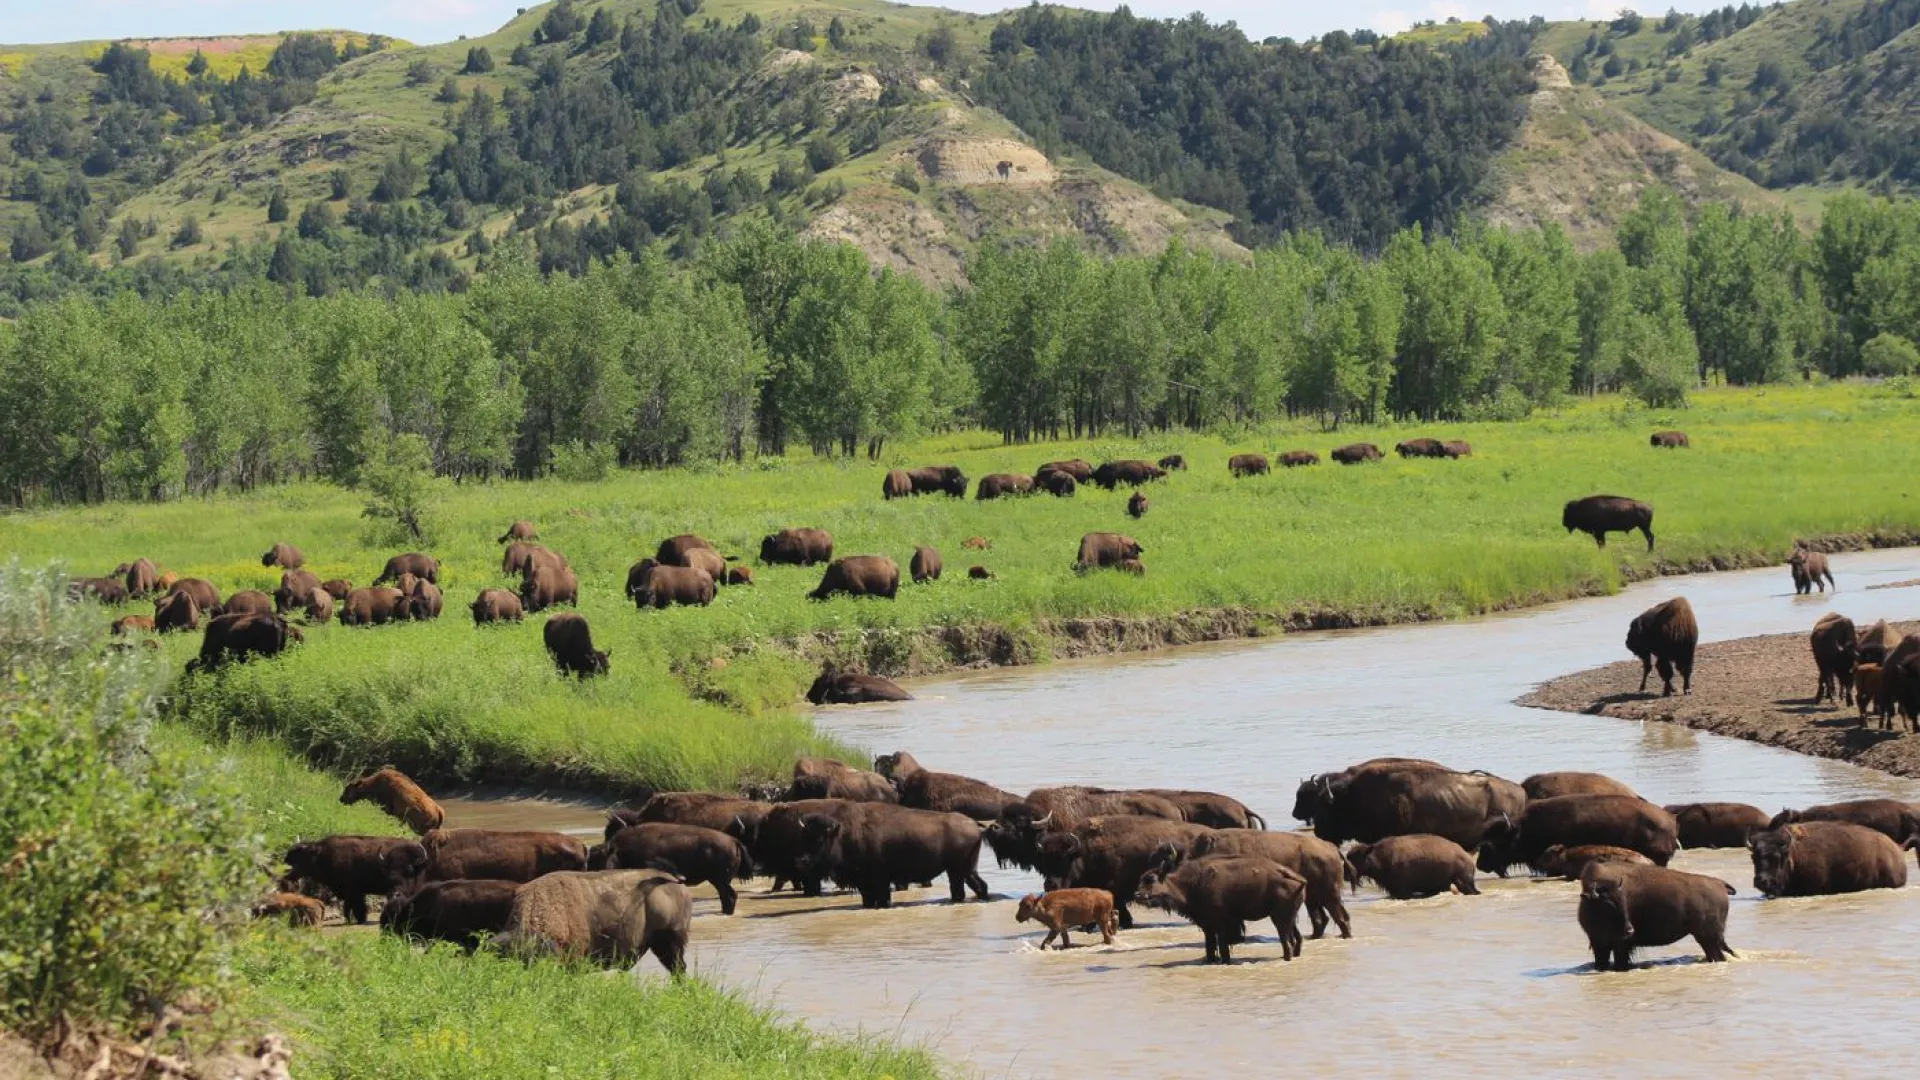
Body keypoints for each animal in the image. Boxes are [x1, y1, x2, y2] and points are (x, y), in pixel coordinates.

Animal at [1578, 862, 1735, 971]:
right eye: (1607, 905)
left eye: (1624, 901)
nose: (1630, 930)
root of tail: (1720, 883)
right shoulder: (1599, 945)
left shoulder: (1620, 946)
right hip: (1707, 939)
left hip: (1708, 938)